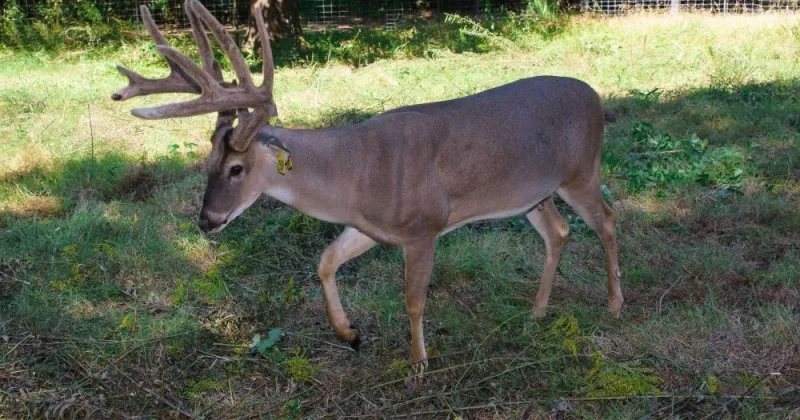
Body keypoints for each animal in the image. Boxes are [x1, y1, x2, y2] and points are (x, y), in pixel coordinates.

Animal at [111, 0, 623, 393]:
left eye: (237, 168)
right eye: (208, 163)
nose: (207, 220)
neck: (355, 174)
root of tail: (596, 96)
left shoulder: (423, 227)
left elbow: (413, 300)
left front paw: (417, 367)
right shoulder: (370, 227)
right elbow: (325, 260)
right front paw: (350, 333)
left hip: (582, 171)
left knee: (608, 220)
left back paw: (615, 303)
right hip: (534, 193)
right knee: (559, 231)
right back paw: (537, 311)